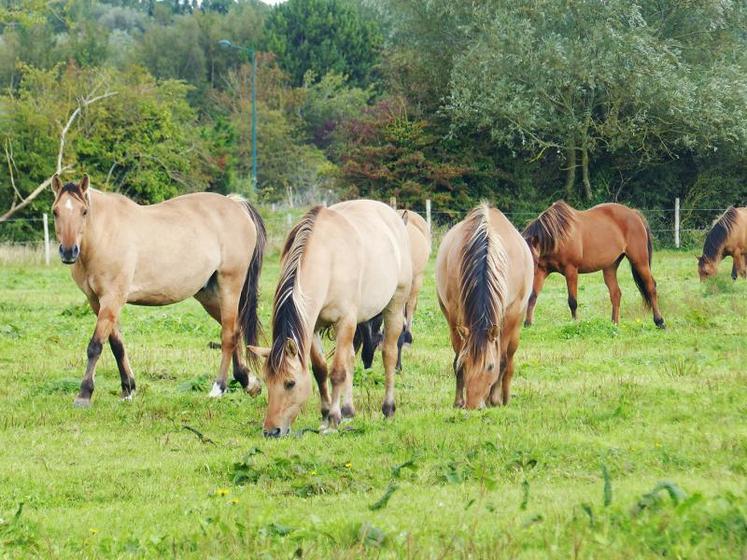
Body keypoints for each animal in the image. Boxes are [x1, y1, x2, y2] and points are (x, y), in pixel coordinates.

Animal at [49, 173, 268, 404]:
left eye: (84, 211)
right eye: (56, 212)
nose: (68, 251)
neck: (104, 235)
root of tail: (235, 204)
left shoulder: (112, 298)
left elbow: (96, 345)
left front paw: (84, 393)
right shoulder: (96, 301)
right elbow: (117, 345)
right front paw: (128, 389)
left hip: (230, 286)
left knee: (228, 335)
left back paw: (218, 388)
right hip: (208, 295)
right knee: (235, 330)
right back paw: (248, 382)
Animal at [248, 200, 412, 438]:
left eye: (290, 383)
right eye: (267, 381)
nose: (271, 431)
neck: (328, 258)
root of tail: (394, 216)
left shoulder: (345, 321)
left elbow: (337, 372)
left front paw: (333, 419)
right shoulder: (313, 325)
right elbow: (320, 370)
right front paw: (326, 415)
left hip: (395, 307)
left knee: (388, 354)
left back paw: (388, 408)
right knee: (351, 358)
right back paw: (348, 411)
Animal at [436, 203, 536, 410]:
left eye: (490, 366)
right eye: (465, 364)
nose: (473, 406)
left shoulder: (509, 318)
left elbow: (503, 361)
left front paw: (495, 399)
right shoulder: (454, 317)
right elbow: (456, 357)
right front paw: (458, 401)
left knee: (510, 359)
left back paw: (503, 397)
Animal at [520, 201, 668, 328]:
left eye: (533, 260)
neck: (557, 237)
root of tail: (634, 213)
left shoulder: (571, 270)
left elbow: (572, 301)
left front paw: (575, 323)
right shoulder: (541, 271)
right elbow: (532, 296)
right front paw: (528, 323)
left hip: (640, 261)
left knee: (650, 287)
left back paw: (660, 321)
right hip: (610, 267)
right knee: (616, 293)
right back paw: (614, 324)